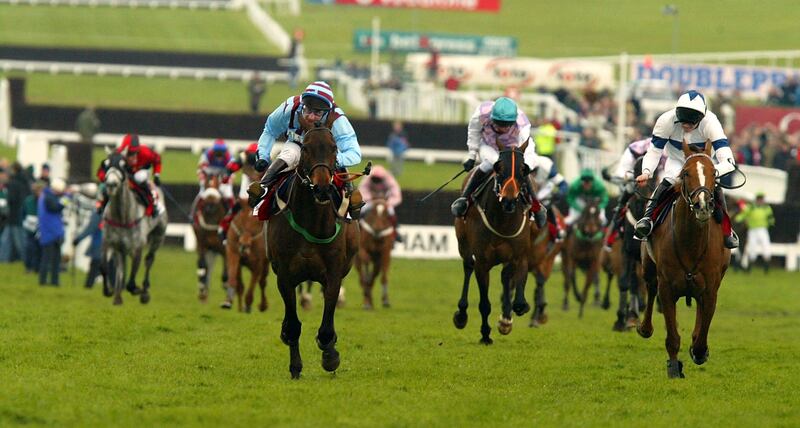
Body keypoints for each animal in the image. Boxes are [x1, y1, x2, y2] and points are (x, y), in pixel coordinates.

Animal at [101, 152, 167, 306]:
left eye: (124, 166)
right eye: (106, 164)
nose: (111, 184)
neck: (122, 217)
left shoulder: (137, 247)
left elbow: (131, 283)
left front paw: (139, 291)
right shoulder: (109, 243)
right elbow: (105, 268)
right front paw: (110, 291)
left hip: (158, 235)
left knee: (149, 259)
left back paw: (144, 290)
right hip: (121, 249)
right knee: (121, 267)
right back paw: (118, 296)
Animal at [266, 126, 360, 378]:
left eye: (334, 148)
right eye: (306, 149)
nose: (322, 187)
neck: (311, 222)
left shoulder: (334, 274)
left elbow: (327, 327)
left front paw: (330, 357)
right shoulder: (285, 276)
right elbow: (292, 325)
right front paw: (295, 366)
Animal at [454, 143, 536, 344]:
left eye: (523, 169)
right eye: (499, 168)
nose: (508, 200)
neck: (503, 221)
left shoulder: (519, 255)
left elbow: (519, 302)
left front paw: (506, 320)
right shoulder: (482, 263)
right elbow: (484, 303)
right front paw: (485, 334)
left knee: (505, 277)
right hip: (463, 243)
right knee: (468, 265)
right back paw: (461, 314)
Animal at [636, 140, 732, 378]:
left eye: (714, 173)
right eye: (686, 173)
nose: (702, 205)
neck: (691, 243)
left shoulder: (710, 288)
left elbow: (702, 330)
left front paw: (699, 351)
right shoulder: (667, 287)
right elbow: (672, 336)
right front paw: (673, 367)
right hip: (648, 267)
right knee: (650, 288)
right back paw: (645, 327)